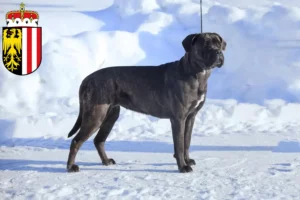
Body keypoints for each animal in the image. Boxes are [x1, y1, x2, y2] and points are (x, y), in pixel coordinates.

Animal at [65, 32, 225, 173]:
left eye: (219, 44)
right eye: (205, 44)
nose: (218, 52)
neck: (195, 73)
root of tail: (86, 79)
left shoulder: (190, 117)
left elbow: (187, 141)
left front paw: (187, 160)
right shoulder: (178, 119)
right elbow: (179, 145)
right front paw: (183, 167)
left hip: (110, 115)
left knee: (98, 140)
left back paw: (106, 161)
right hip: (96, 115)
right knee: (76, 141)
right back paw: (71, 167)